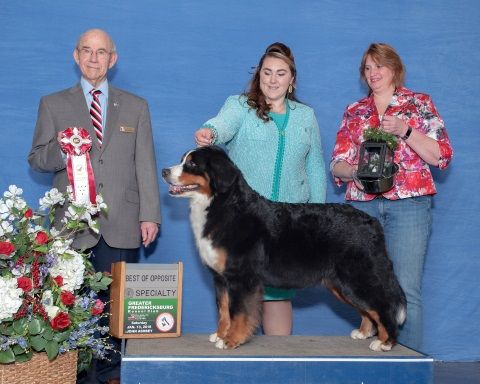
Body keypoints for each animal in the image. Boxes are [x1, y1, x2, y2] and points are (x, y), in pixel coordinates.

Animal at [161, 146, 404, 352]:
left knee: (383, 305)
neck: (222, 206)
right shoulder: (221, 279)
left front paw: (231, 340)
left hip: (359, 276)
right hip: (340, 284)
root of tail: (371, 222)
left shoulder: (241, 276)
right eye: (183, 160)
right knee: (368, 310)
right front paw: (220, 335)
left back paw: (385, 342)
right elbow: (223, 310)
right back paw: (363, 332)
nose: (164, 171)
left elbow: (238, 312)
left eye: (192, 164)